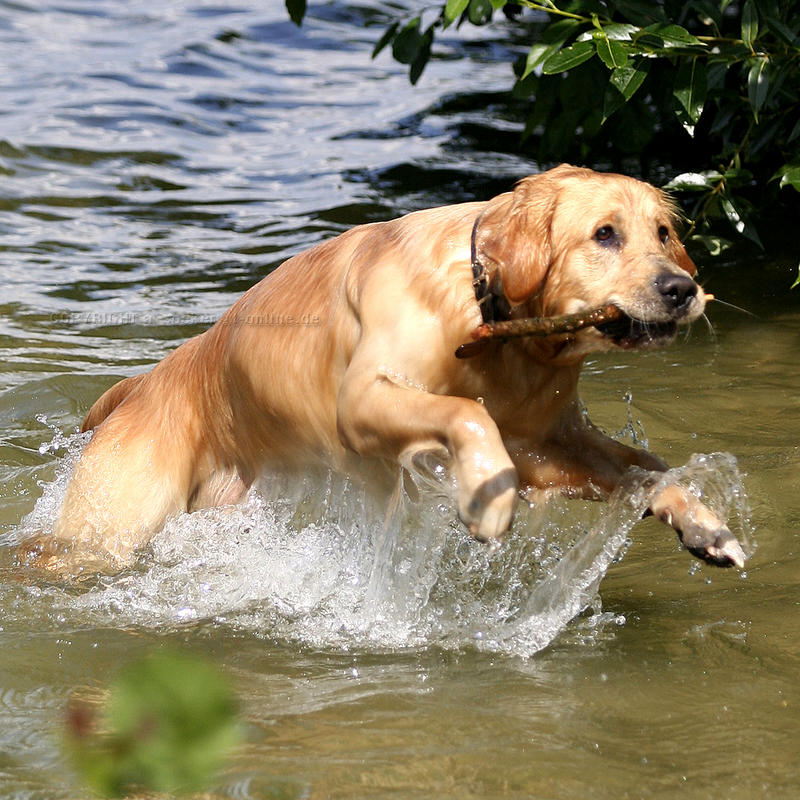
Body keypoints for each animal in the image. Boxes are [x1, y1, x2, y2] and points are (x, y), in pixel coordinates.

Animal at [28, 166, 748, 572]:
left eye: (663, 233)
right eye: (604, 234)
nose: (683, 288)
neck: (488, 318)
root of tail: (141, 385)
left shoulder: (549, 439)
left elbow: (650, 467)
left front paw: (704, 523)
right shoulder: (362, 401)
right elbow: (466, 414)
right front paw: (487, 499)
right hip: (108, 523)